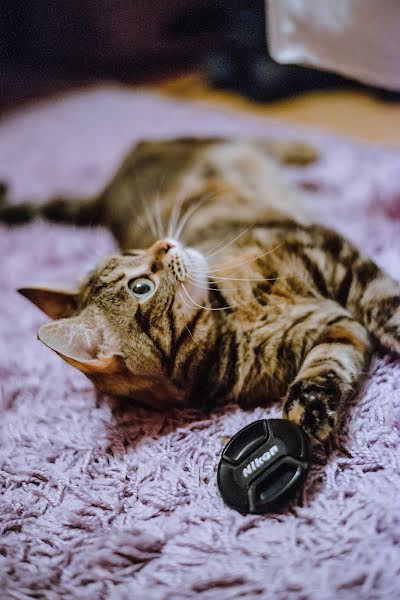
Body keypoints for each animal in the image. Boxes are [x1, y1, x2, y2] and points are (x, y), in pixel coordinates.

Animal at [1, 138, 398, 442]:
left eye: (130, 253)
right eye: (141, 287)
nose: (163, 243)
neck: (232, 315)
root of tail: (106, 190)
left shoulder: (327, 249)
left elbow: (384, 304)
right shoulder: (334, 329)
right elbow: (327, 364)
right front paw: (310, 410)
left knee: (254, 139)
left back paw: (304, 152)